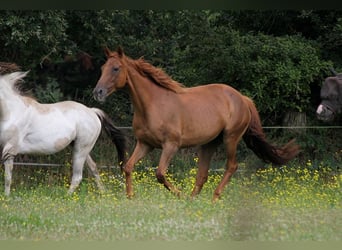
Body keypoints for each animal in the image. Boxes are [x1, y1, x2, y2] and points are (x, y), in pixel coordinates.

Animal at [93, 47, 300, 202]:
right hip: (209, 143)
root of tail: (242, 98)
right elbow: (128, 167)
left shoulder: (171, 146)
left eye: (116, 68)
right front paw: (130, 197)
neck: (152, 104)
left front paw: (180, 195)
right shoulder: (145, 144)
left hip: (231, 138)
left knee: (231, 166)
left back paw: (213, 198)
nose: (98, 92)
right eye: (102, 68)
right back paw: (194, 200)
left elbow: (160, 174)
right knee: (202, 174)